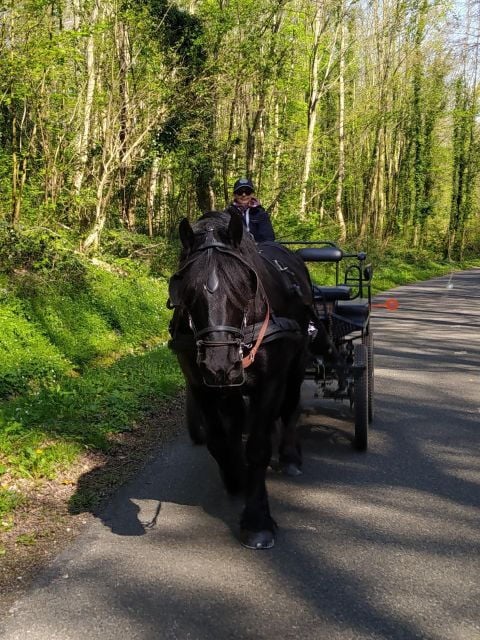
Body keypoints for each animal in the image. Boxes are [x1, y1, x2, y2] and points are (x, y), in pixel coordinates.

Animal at [168, 210, 314, 549]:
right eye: (186, 290)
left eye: (244, 285)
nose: (219, 364)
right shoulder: (200, 385)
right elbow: (218, 439)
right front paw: (236, 477)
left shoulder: (270, 382)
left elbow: (258, 447)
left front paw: (257, 520)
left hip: (297, 362)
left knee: (291, 406)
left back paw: (290, 457)